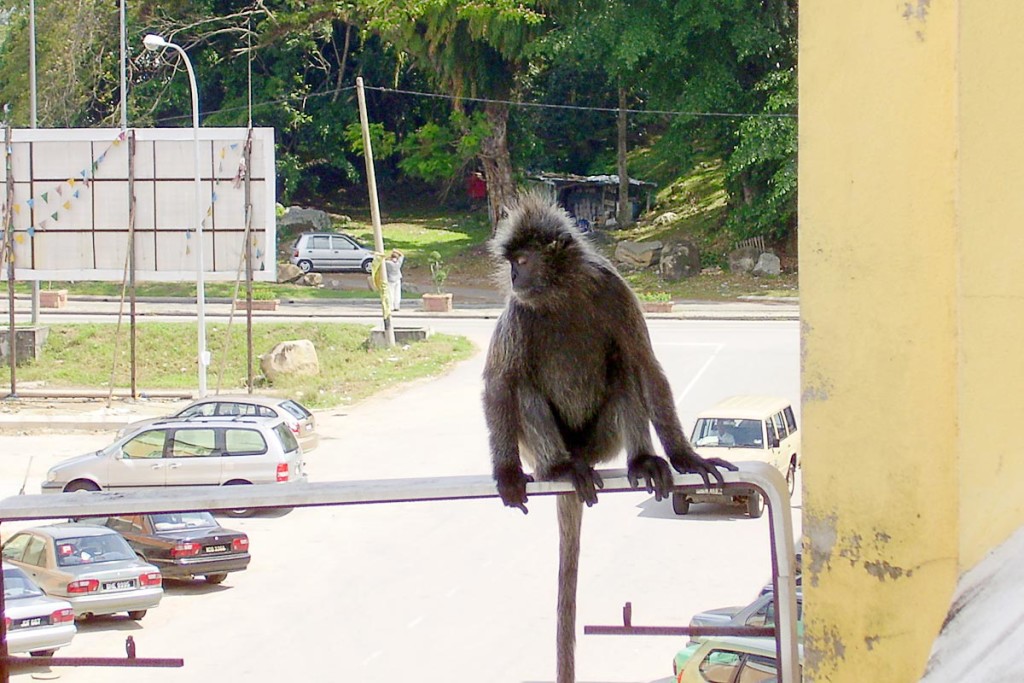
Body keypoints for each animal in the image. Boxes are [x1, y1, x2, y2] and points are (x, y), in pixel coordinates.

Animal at [481, 192, 737, 683]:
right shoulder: (518, 311)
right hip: (547, 444)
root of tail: (580, 454)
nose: (515, 278)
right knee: (523, 387)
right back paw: (560, 468)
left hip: (602, 441)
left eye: (522, 260)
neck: (561, 295)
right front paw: (506, 474)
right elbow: (500, 382)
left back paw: (644, 461)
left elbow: (645, 363)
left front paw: (685, 456)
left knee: (624, 369)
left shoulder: (612, 288)